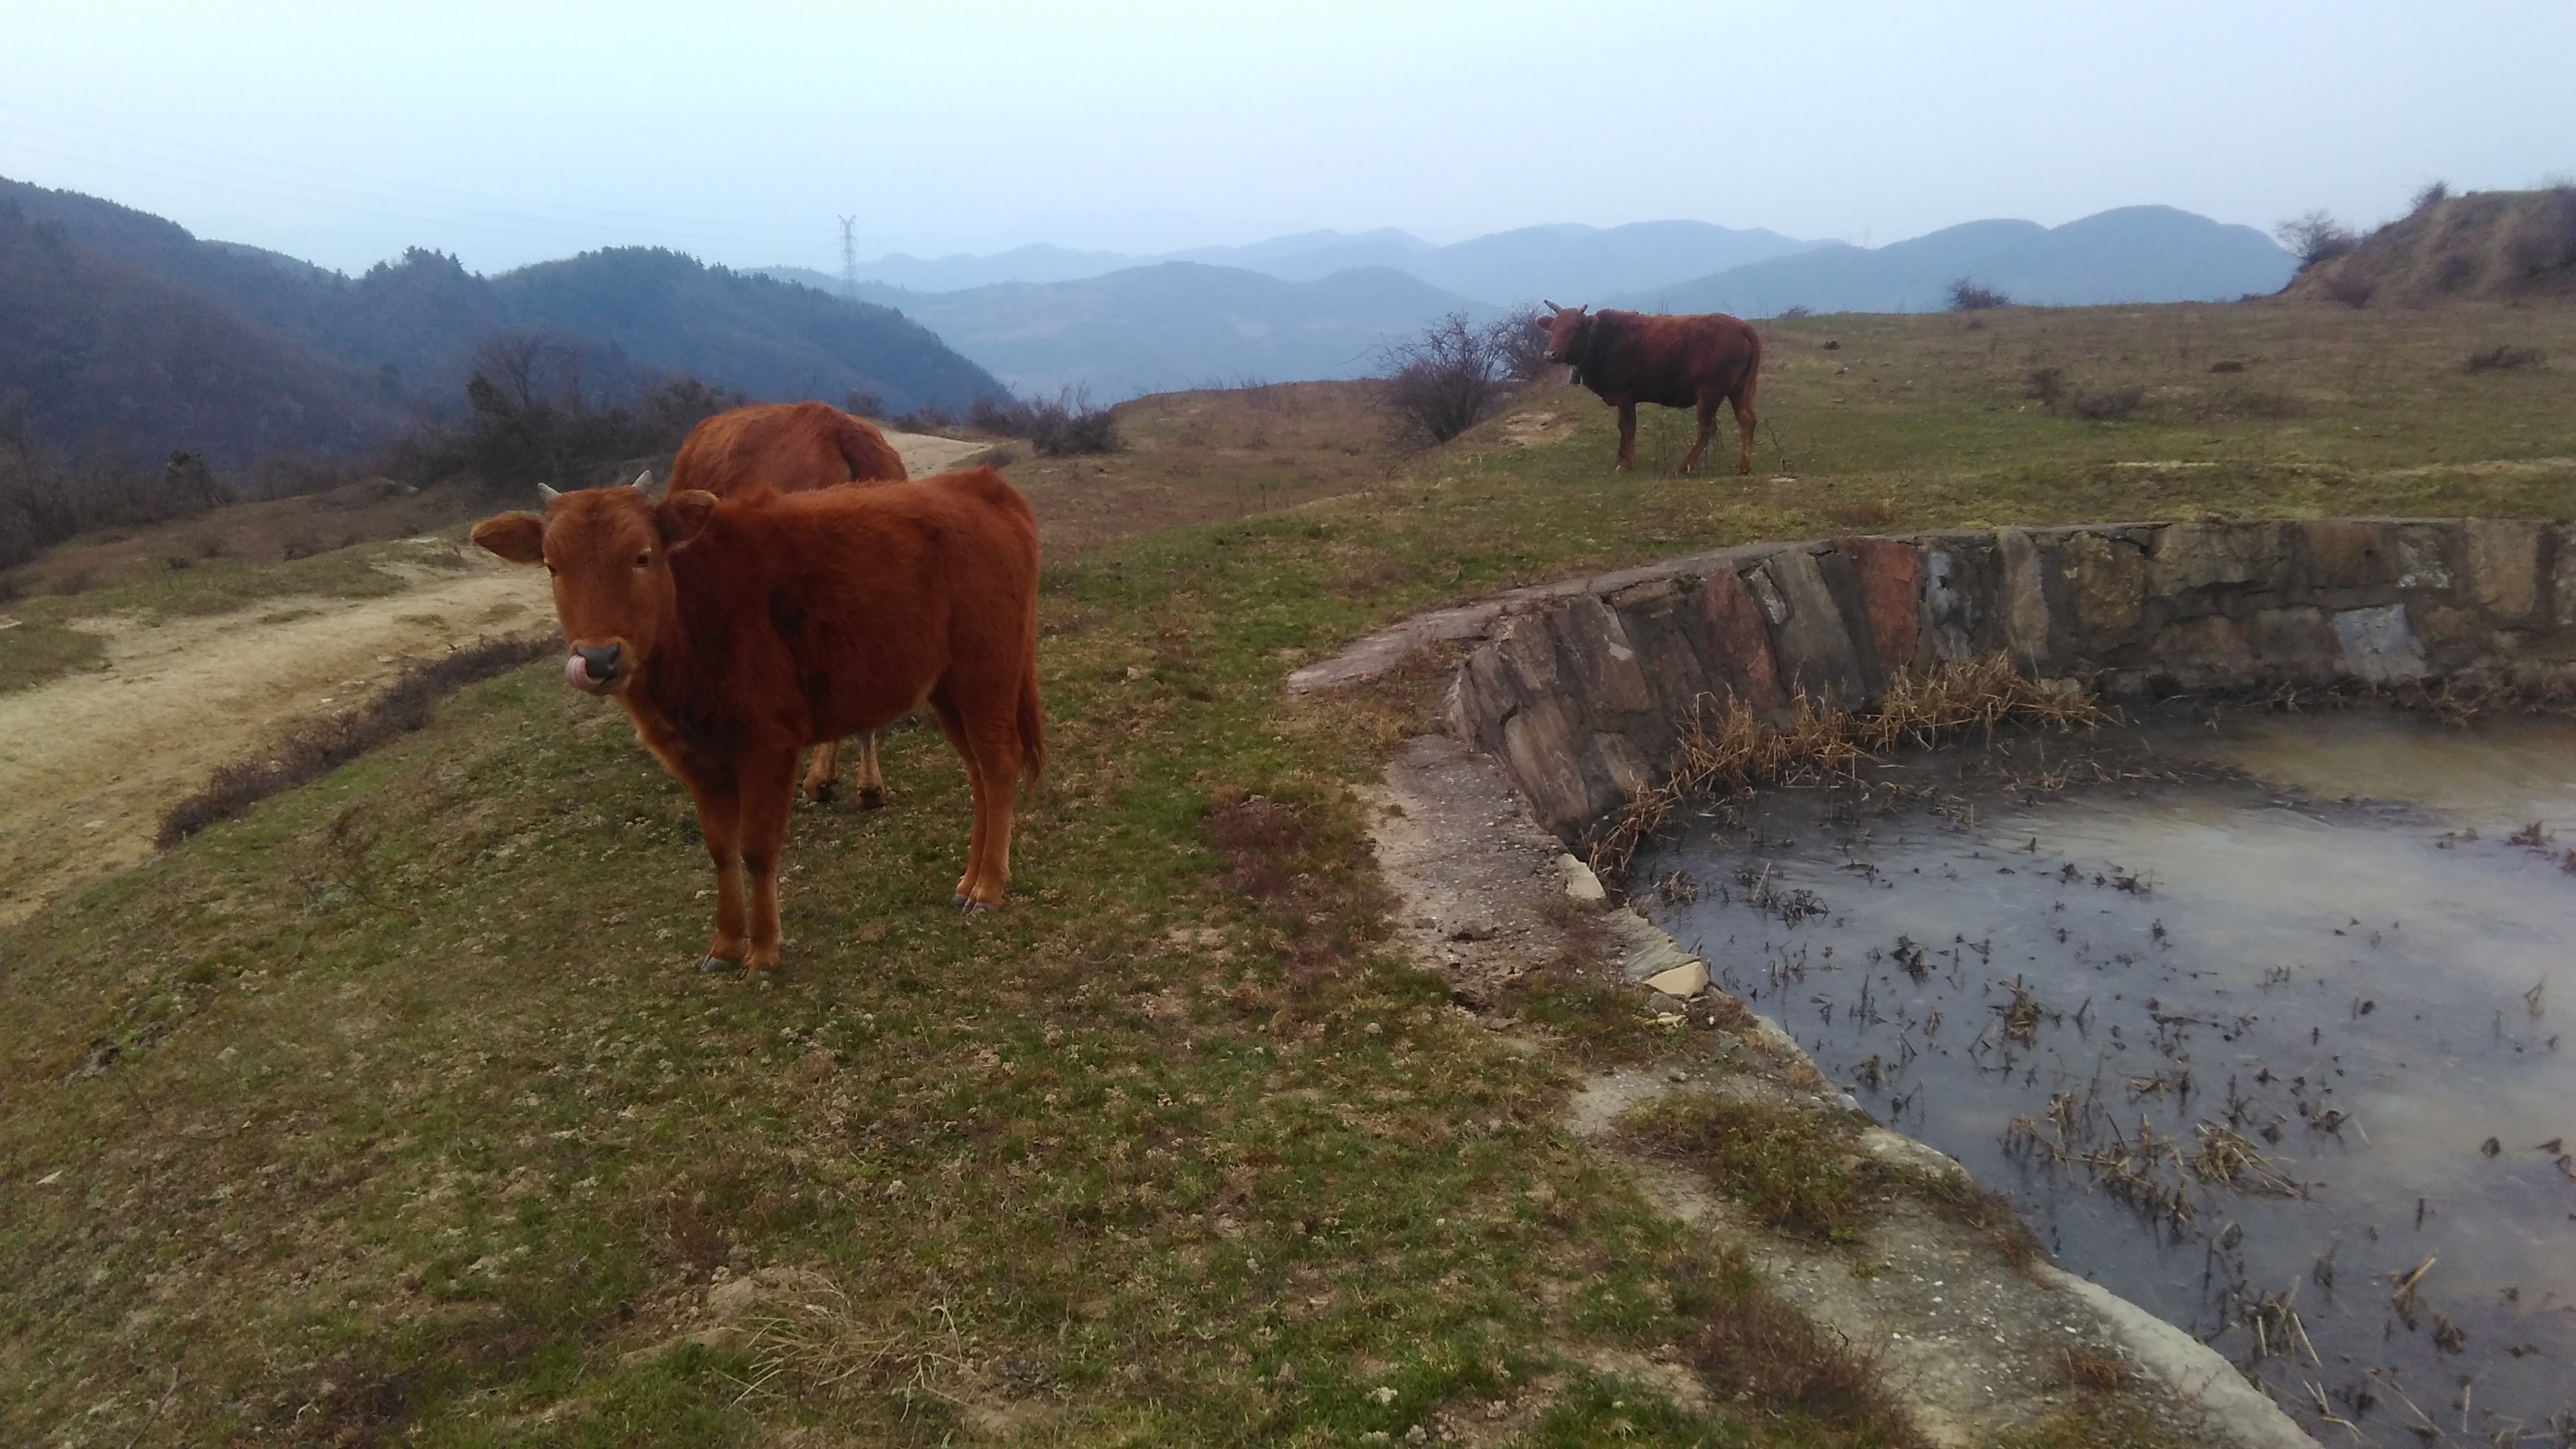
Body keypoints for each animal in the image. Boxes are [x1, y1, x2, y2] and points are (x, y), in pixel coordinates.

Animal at [474, 469, 1046, 974]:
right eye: (552, 567)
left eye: (642, 556)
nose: (597, 658)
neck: (694, 616)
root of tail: (977, 484)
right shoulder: (696, 759)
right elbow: (721, 851)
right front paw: (726, 944)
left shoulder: (769, 744)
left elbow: (757, 849)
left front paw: (765, 949)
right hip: (948, 688)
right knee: (977, 775)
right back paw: (969, 879)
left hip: (986, 671)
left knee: (999, 766)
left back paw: (989, 885)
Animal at [1535, 302, 1762, 474]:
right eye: (1553, 328)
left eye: (1575, 328)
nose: (1550, 353)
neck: (1601, 341)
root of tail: (1742, 326)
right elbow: (1623, 426)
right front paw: (1621, 458)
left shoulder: (1624, 395)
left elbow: (1627, 426)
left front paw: (1626, 463)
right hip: (1739, 389)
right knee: (1747, 420)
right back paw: (1744, 467)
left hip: (1710, 391)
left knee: (1708, 428)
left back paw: (1684, 466)